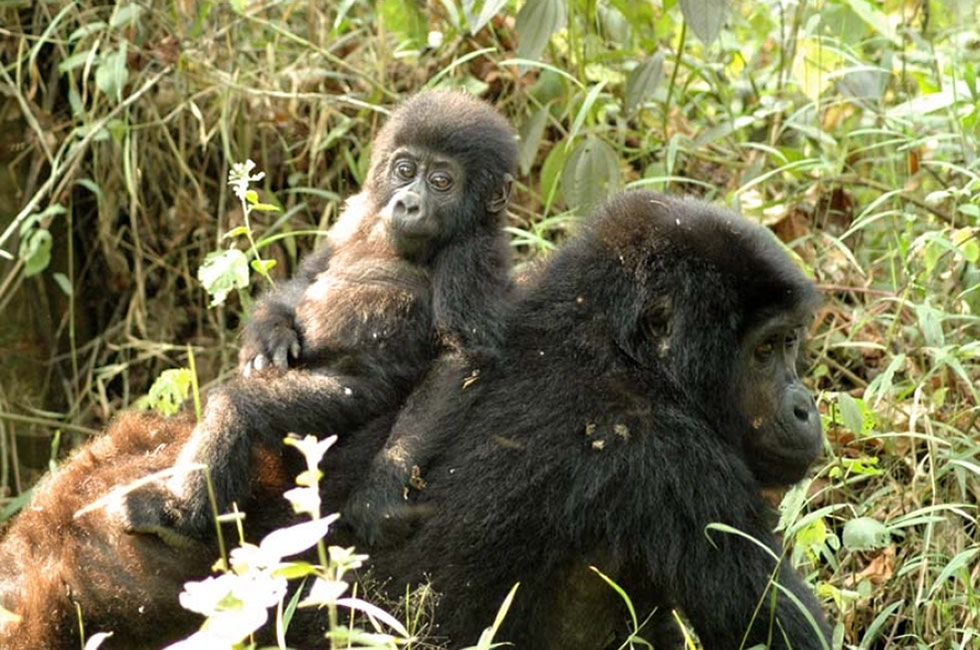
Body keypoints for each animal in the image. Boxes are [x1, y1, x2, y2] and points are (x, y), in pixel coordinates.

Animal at [123, 88, 516, 540]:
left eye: (441, 182)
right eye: (404, 170)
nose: (408, 203)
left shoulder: (472, 254)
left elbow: (460, 358)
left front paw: (383, 487)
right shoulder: (358, 210)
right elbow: (309, 275)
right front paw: (268, 334)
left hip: (354, 399)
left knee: (241, 406)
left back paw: (178, 514)